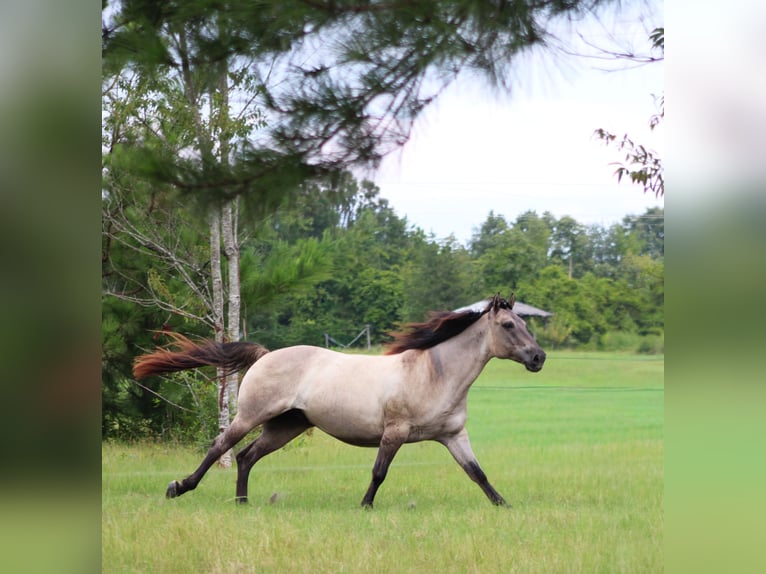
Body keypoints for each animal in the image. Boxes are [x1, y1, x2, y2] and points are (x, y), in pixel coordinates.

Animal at [133, 293, 546, 508]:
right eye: (509, 325)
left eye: (527, 324)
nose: (539, 358)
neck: (434, 373)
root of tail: (265, 354)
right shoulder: (394, 432)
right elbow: (379, 472)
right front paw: (365, 507)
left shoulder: (453, 436)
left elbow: (478, 473)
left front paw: (504, 506)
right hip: (251, 415)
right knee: (221, 447)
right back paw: (179, 487)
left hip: (286, 426)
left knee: (247, 456)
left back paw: (242, 503)